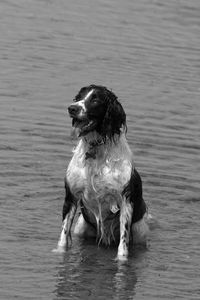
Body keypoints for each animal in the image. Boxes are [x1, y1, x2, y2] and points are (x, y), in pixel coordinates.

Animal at [55, 84, 148, 260]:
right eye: (78, 97)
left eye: (95, 100)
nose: (72, 108)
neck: (96, 149)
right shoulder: (71, 196)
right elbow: (63, 237)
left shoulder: (125, 201)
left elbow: (123, 243)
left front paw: (121, 260)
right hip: (81, 227)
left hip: (140, 232)